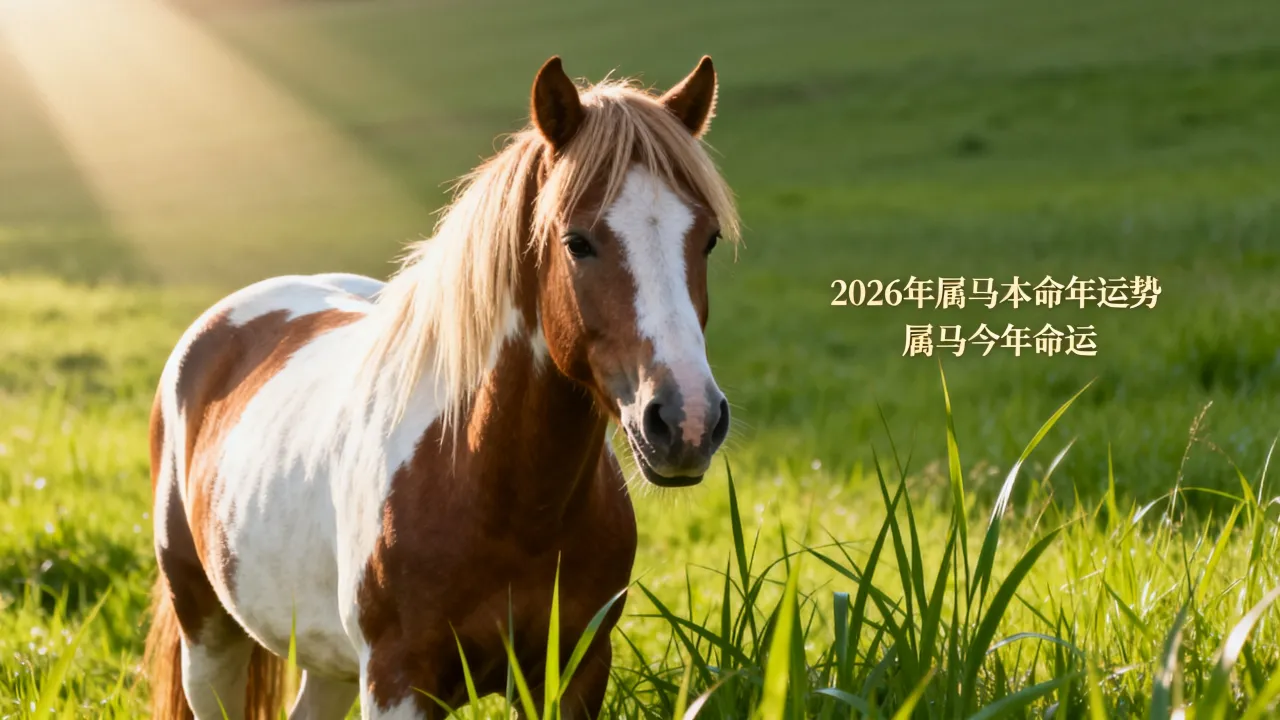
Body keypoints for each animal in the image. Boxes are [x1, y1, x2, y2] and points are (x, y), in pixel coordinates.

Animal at [144, 55, 740, 719]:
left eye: (708, 238)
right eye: (577, 242)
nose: (687, 421)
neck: (495, 489)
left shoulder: (575, 674)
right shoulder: (397, 680)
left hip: (327, 661)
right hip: (208, 635)